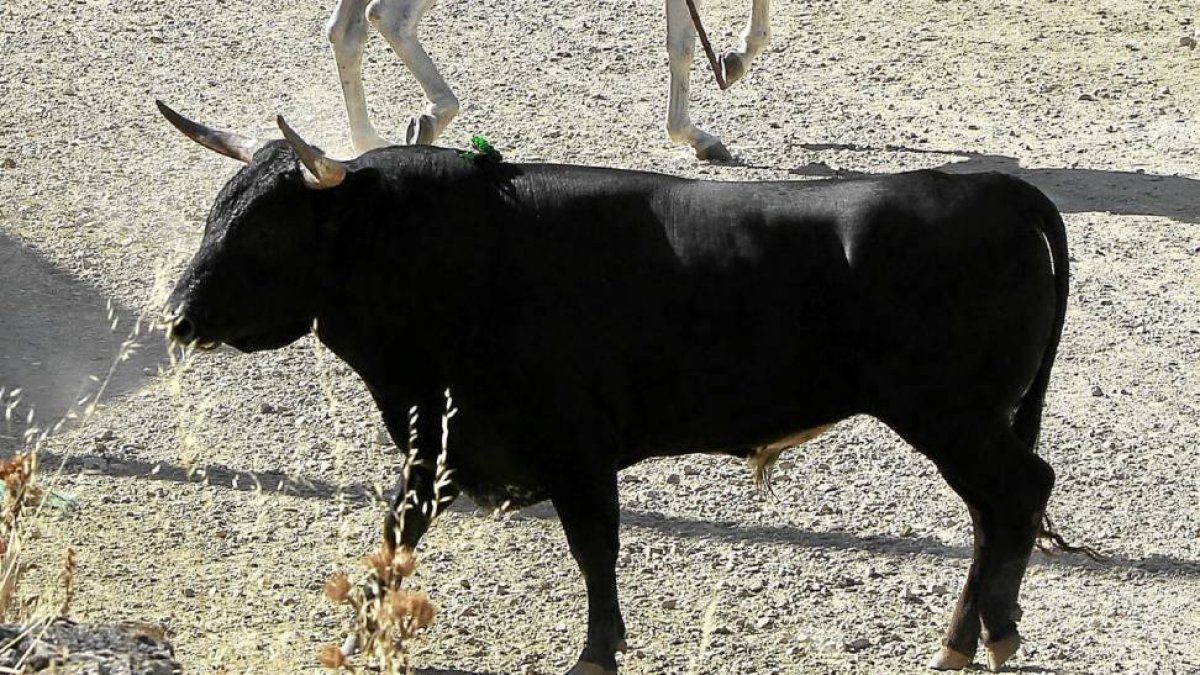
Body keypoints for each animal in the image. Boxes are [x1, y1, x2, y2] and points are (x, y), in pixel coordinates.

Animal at [154, 102, 1084, 667]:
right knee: (993, 514)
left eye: (265, 232)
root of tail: (991, 189)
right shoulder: (439, 441)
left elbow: (594, 548)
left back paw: (986, 637)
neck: (455, 252)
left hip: (951, 415)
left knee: (1018, 495)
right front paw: (357, 633)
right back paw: (970, 637)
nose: (178, 316)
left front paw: (595, 652)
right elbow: (394, 539)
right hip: (969, 420)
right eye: (214, 213)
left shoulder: (574, 449)